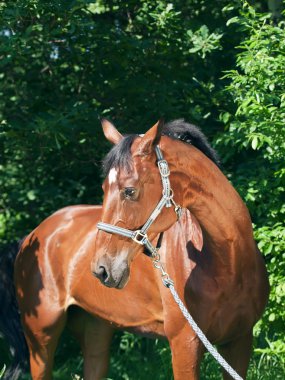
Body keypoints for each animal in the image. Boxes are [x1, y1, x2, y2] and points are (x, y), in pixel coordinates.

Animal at [90, 119, 268, 380]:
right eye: (104, 188)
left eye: (129, 191)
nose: (100, 269)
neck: (229, 264)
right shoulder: (185, 344)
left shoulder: (240, 341)